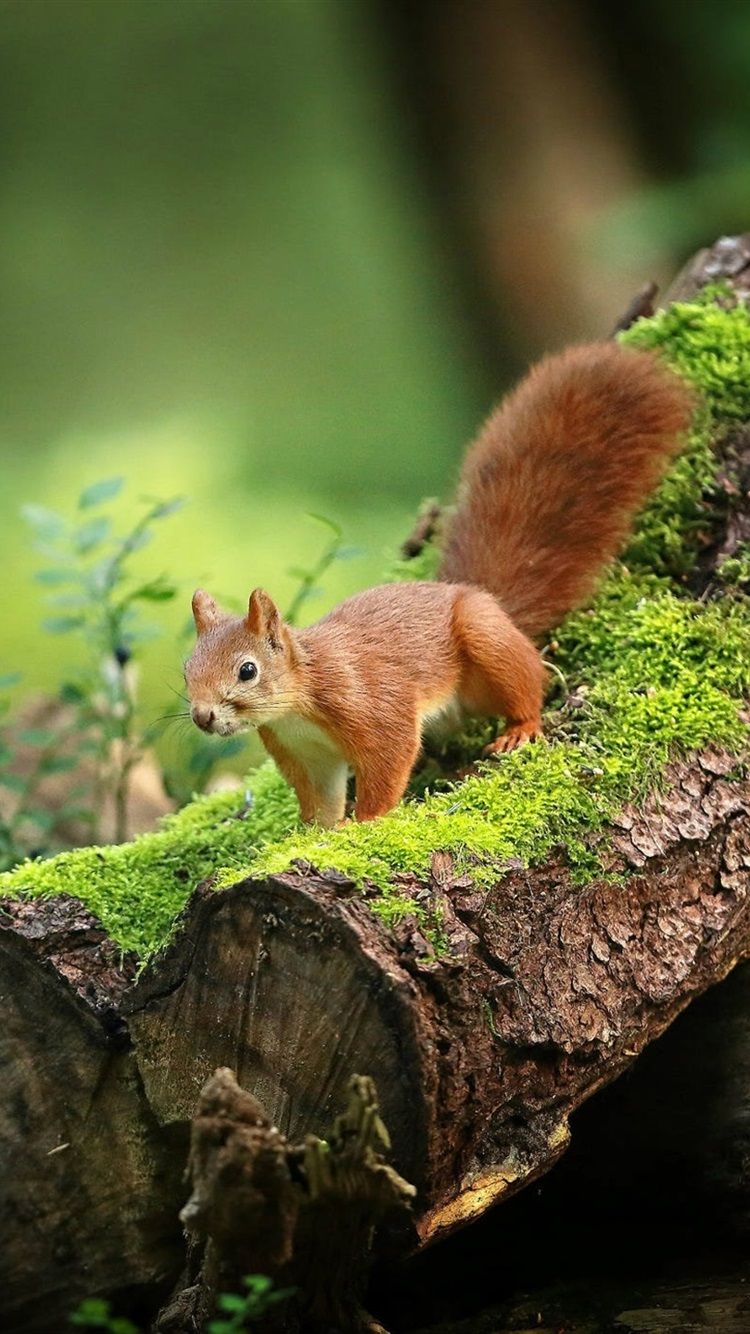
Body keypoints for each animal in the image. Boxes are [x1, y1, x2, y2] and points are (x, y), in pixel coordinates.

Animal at [185, 341, 693, 826]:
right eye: (187, 669)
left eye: (247, 670)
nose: (202, 716)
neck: (297, 702)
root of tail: (478, 596)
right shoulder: (306, 753)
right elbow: (320, 800)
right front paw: (315, 834)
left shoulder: (372, 706)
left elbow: (388, 761)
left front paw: (365, 823)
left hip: (485, 637)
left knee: (532, 679)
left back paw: (521, 728)